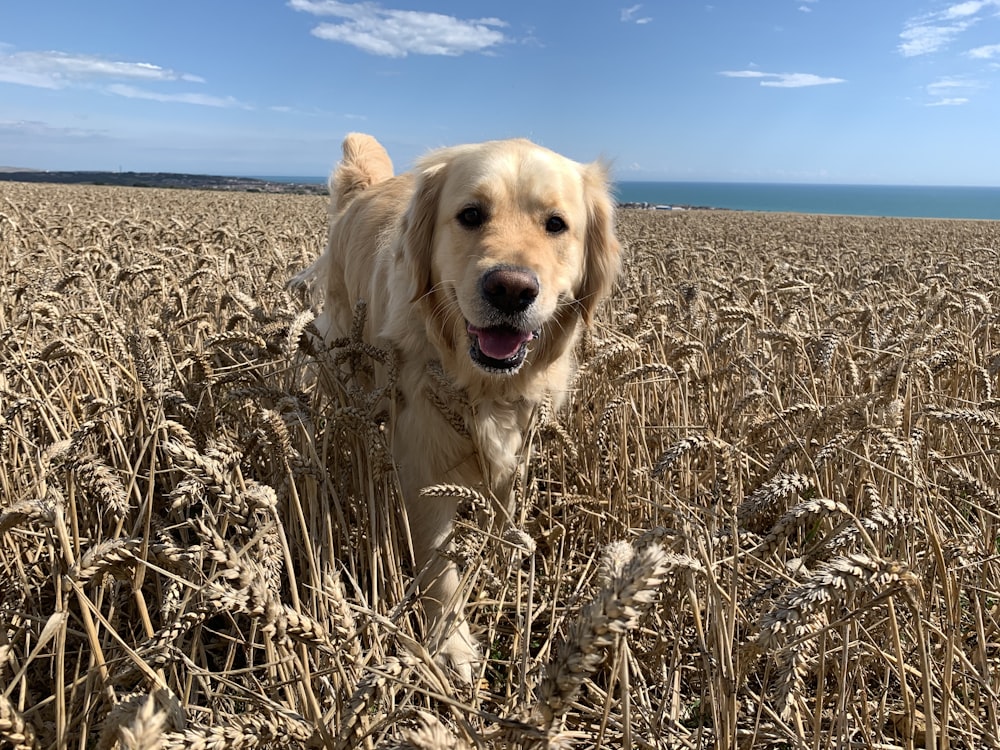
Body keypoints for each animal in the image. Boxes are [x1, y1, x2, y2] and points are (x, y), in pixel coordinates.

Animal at [296, 132, 620, 684]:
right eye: (470, 214)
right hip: (344, 363)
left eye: (556, 224)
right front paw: (451, 645)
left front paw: (511, 553)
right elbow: (438, 565)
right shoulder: (423, 461)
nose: (510, 289)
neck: (482, 386)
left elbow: (506, 505)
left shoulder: (519, 436)